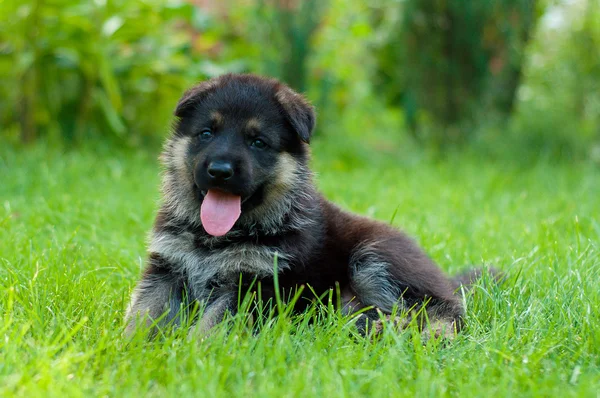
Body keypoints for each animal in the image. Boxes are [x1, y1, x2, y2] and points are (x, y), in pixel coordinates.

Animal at [125, 73, 478, 338]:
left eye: (258, 142)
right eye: (206, 133)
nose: (220, 171)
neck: (213, 239)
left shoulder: (251, 286)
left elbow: (211, 326)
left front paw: (193, 355)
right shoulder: (167, 269)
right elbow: (143, 314)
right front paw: (131, 350)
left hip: (375, 256)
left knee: (446, 313)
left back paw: (416, 331)